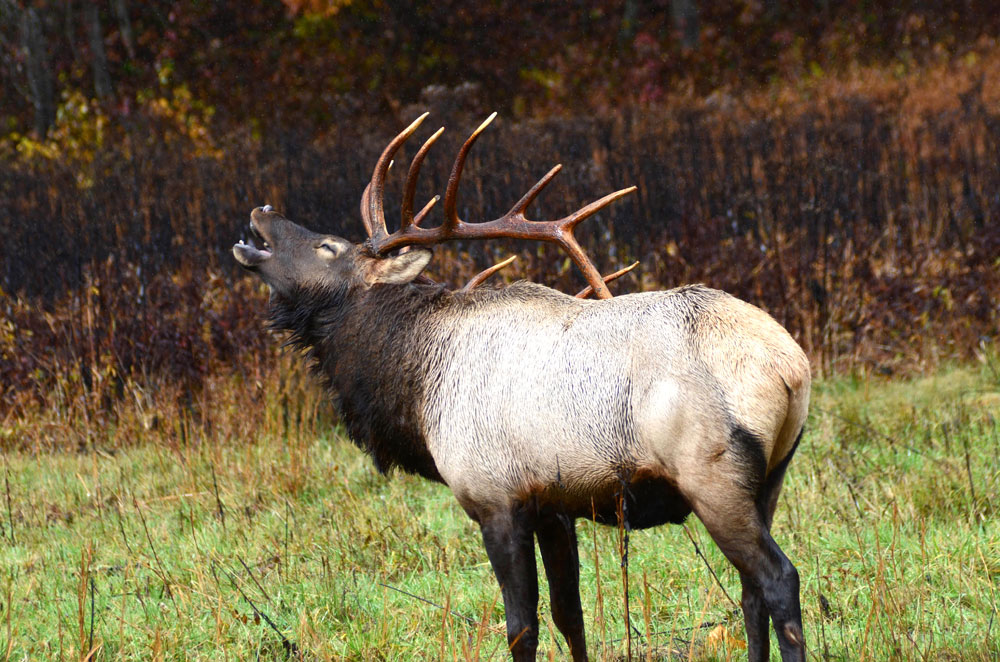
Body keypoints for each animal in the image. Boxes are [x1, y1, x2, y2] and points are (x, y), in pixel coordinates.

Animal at [236, 115, 812, 662]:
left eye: (327, 246)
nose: (261, 209)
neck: (415, 388)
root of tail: (791, 367)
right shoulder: (553, 505)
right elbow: (570, 616)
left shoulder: (496, 498)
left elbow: (521, 628)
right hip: (770, 479)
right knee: (750, 592)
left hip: (712, 476)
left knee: (779, 578)